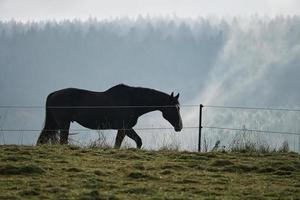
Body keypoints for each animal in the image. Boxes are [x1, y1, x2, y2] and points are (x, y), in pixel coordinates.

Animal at [37, 83, 183, 148]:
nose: (180, 126)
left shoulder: (123, 129)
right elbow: (130, 142)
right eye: (174, 107)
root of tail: (53, 94)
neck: (132, 101)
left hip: (55, 123)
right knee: (62, 141)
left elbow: (130, 142)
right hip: (63, 123)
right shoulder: (125, 128)